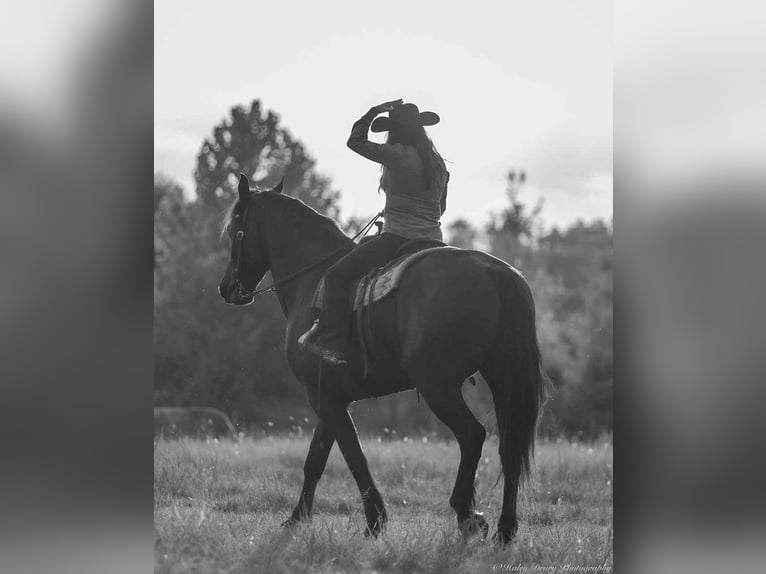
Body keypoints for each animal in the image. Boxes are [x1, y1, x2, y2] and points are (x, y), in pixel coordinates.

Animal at [218, 174, 547, 543]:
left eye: (235, 229)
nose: (226, 288)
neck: (312, 279)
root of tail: (494, 272)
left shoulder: (323, 397)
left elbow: (353, 456)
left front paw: (375, 519)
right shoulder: (331, 396)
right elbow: (316, 459)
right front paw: (297, 518)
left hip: (438, 386)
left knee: (473, 435)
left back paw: (467, 514)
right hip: (501, 378)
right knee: (510, 448)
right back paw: (505, 529)